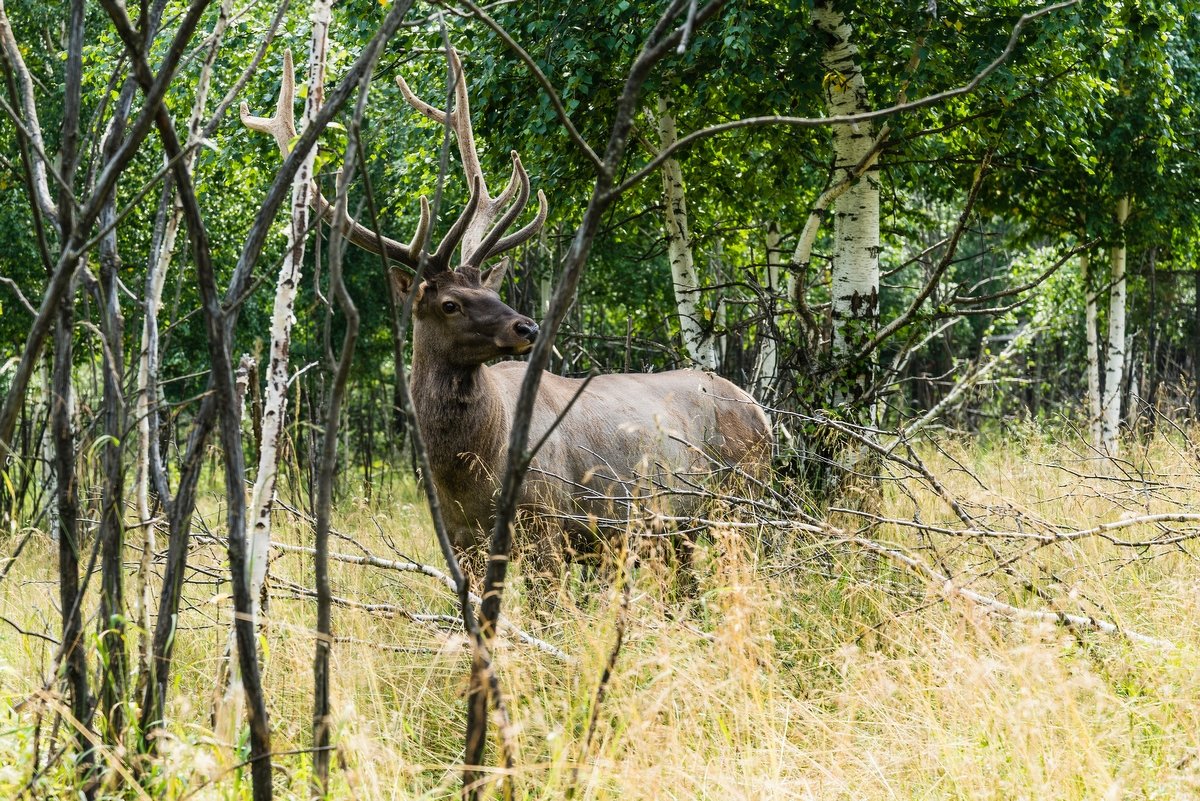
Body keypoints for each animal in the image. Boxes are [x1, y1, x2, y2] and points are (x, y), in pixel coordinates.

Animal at [246, 50, 768, 585]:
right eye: (450, 303)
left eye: (489, 289)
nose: (527, 326)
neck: (468, 477)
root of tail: (763, 413)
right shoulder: (460, 542)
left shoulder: (547, 525)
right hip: (683, 527)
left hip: (744, 500)